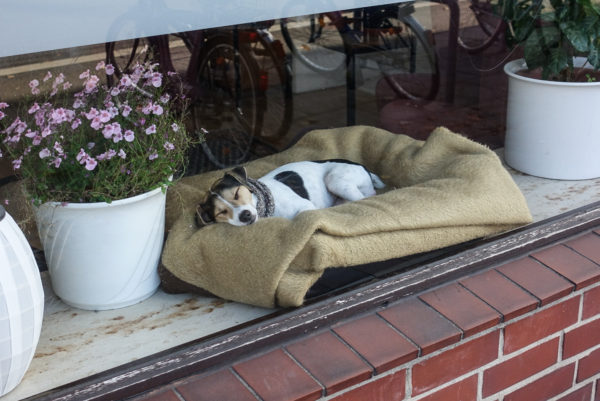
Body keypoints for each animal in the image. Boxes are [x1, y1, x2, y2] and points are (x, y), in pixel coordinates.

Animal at [197, 159, 384, 225]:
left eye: (236, 193)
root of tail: (364, 168)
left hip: (335, 180)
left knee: (367, 196)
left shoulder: (305, 206)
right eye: (221, 212)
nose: (245, 216)